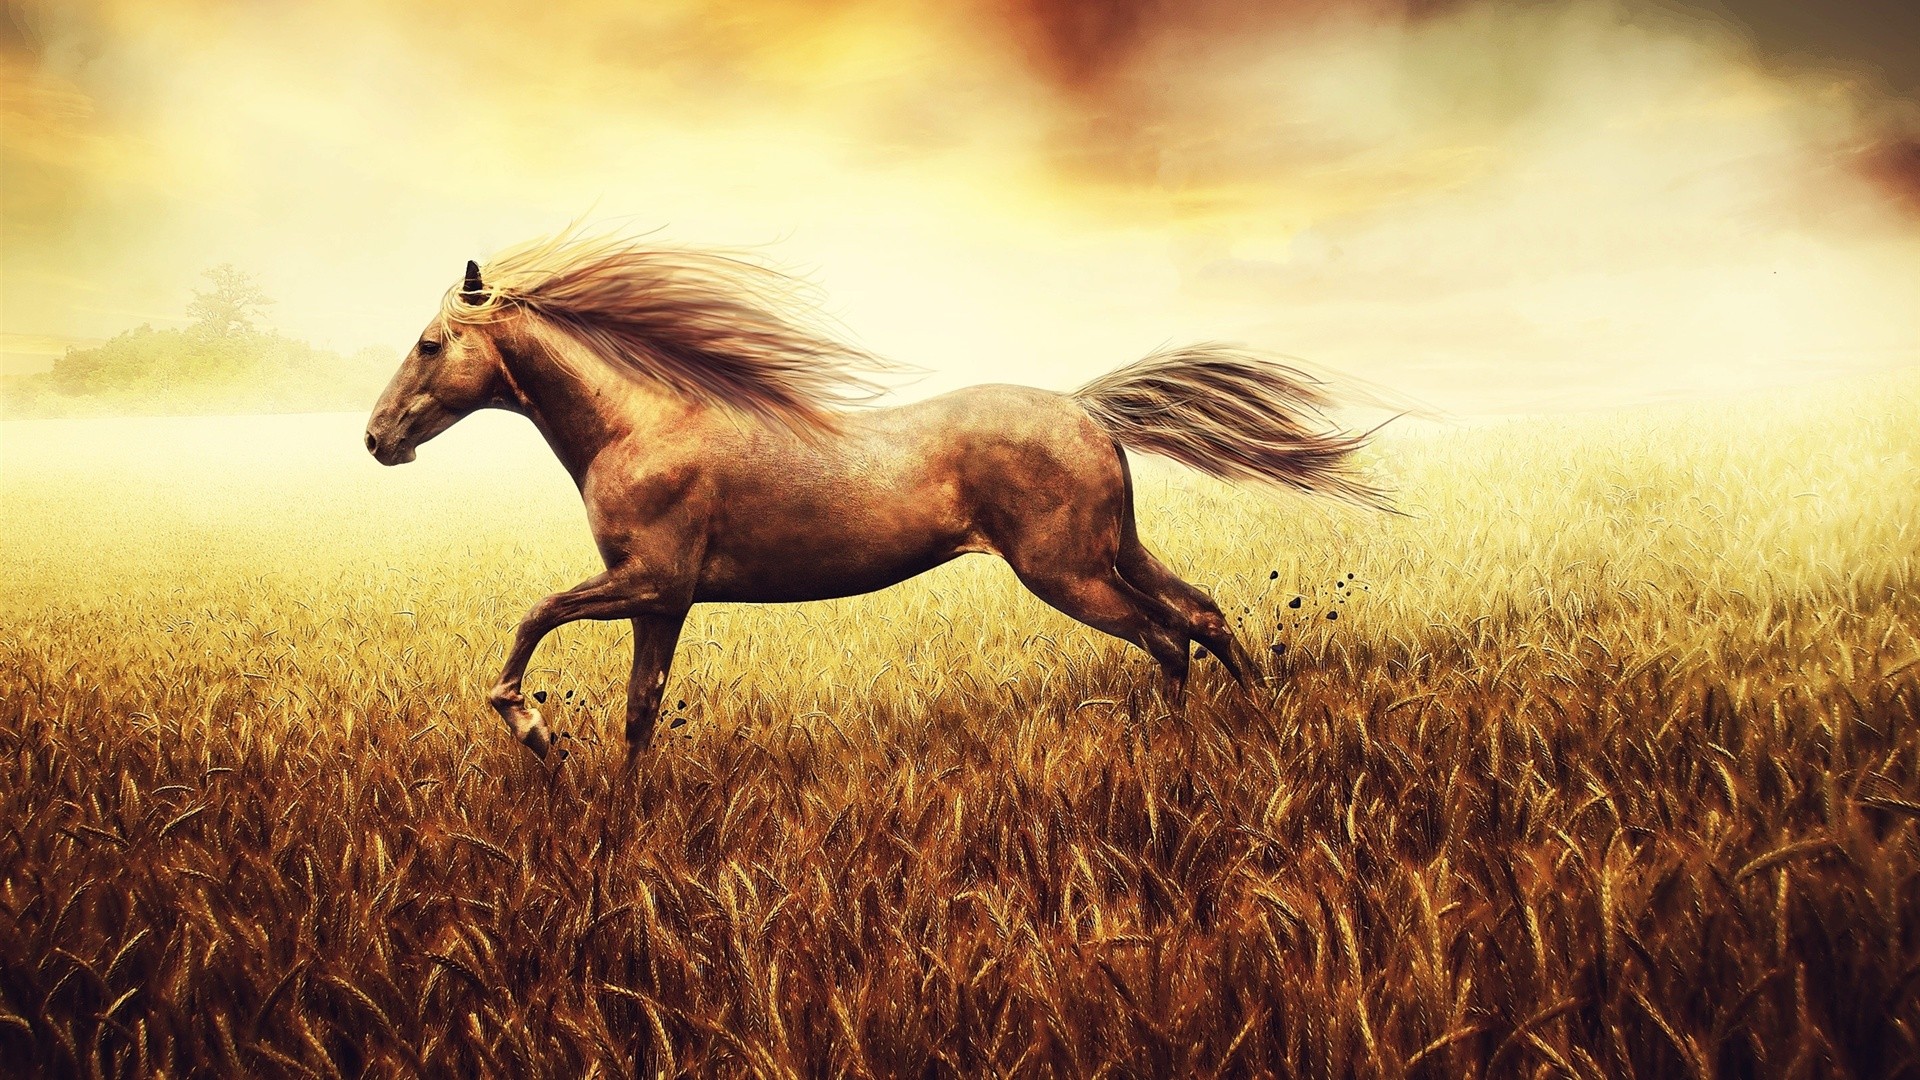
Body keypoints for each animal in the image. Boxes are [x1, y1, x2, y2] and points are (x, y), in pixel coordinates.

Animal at [365, 231, 1388, 758]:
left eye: (428, 343)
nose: (376, 439)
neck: (640, 426)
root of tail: (1086, 409)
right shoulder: (662, 602)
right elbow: (639, 714)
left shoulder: (651, 582)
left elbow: (534, 616)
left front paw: (532, 727)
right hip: (1113, 550)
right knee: (1203, 613)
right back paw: (1259, 724)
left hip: (1066, 572)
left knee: (1165, 636)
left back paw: (1181, 755)